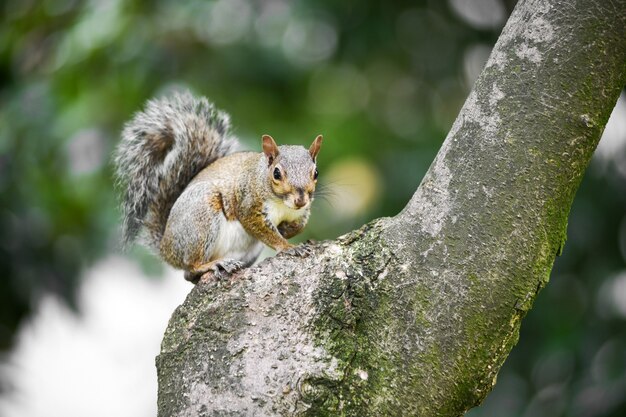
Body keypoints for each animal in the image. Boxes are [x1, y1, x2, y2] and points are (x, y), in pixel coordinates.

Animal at [113, 92, 322, 282]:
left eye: (316, 173)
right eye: (277, 174)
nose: (300, 200)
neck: (283, 204)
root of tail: (166, 247)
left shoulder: (302, 212)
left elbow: (299, 225)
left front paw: (288, 231)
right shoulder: (248, 203)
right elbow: (261, 229)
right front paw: (288, 246)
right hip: (201, 216)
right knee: (191, 266)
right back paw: (214, 264)